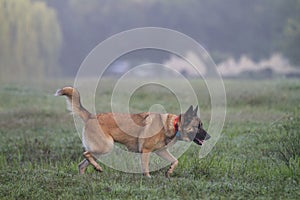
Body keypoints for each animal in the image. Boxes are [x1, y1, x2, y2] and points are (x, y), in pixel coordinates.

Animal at [55, 86, 211, 177]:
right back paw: (98, 168)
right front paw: (148, 179)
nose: (209, 136)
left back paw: (86, 176)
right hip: (106, 146)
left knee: (82, 164)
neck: (174, 124)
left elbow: (175, 160)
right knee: (86, 154)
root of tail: (91, 116)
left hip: (100, 150)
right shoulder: (146, 151)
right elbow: (146, 169)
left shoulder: (161, 151)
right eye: (199, 126)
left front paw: (170, 171)